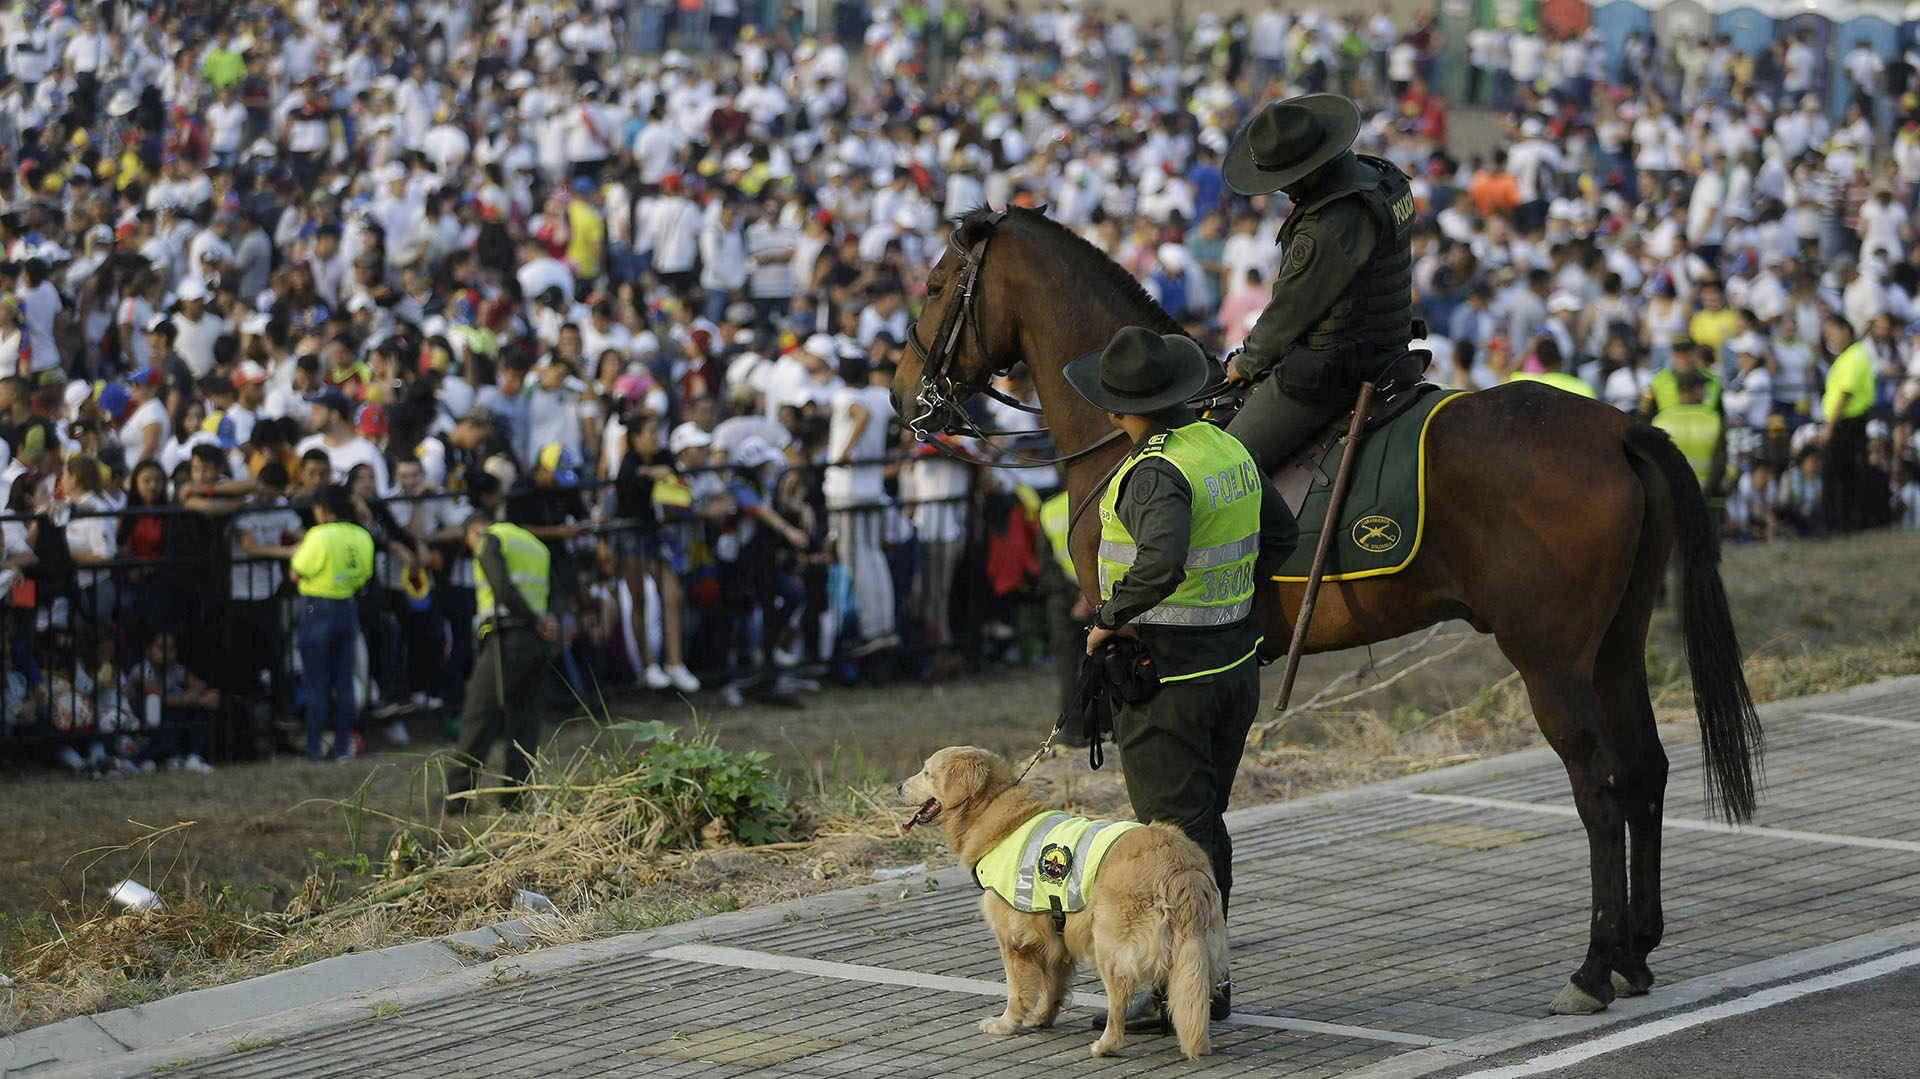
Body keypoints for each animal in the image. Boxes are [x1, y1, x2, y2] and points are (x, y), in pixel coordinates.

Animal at [890, 205, 1758, 1013]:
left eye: (934, 285)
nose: (904, 395)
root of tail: (1617, 428)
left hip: (1552, 664)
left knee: (1601, 787)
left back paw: (1594, 965)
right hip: (1616, 648)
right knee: (1646, 770)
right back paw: (1636, 951)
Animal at [898, 744, 1228, 1052]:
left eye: (926, 772)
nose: (899, 785)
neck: (992, 810)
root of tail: (1181, 864)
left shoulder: (1015, 940)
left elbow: (1017, 990)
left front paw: (1006, 1024)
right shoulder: (1055, 935)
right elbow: (1052, 986)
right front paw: (1042, 1018)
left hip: (1109, 945)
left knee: (1119, 1000)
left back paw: (1106, 1045)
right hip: (1197, 950)